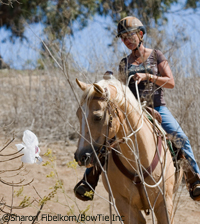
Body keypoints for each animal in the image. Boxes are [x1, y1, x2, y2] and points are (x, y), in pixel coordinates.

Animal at [74, 75, 176, 224]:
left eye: (98, 117)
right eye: (78, 115)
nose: (81, 156)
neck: (139, 161)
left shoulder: (165, 203)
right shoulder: (124, 206)